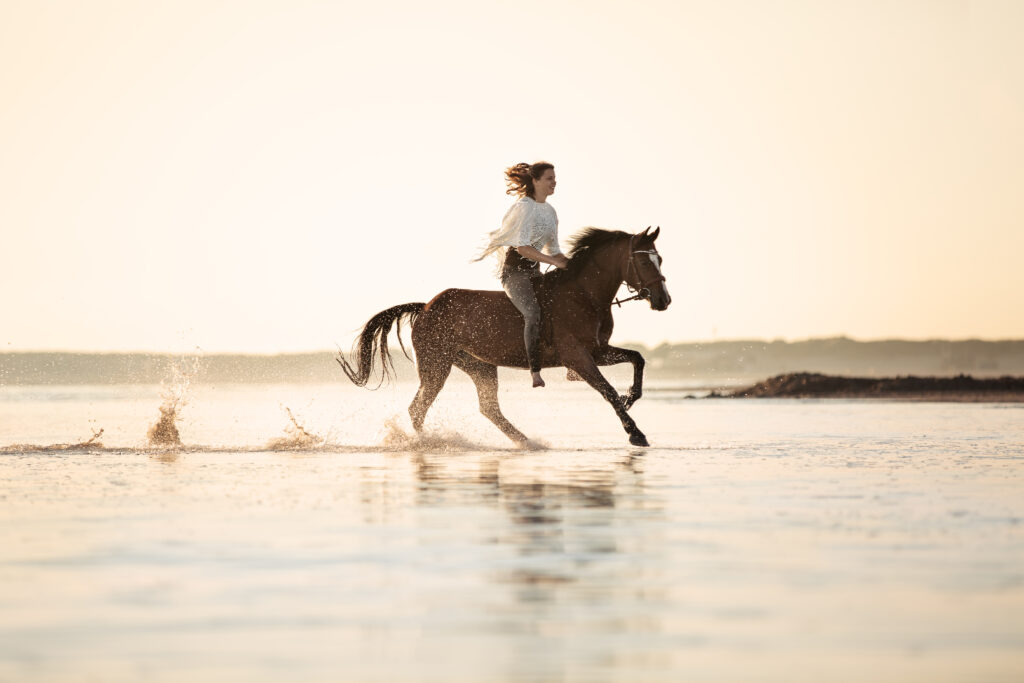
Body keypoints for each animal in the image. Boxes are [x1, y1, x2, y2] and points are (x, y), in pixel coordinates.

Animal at [337, 227, 671, 446]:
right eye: (644, 261)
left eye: (661, 259)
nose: (663, 300)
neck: (584, 296)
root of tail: (426, 307)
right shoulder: (578, 356)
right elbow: (607, 390)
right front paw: (636, 433)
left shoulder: (597, 350)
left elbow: (637, 359)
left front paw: (632, 397)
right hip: (436, 365)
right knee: (418, 408)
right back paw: (430, 442)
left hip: (479, 366)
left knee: (488, 408)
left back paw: (527, 442)